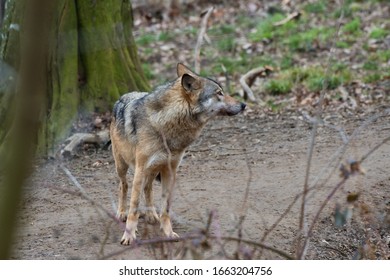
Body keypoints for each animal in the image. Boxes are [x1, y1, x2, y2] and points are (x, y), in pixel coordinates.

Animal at [109, 63, 245, 245]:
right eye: (219, 93)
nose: (244, 105)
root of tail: (124, 95)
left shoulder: (170, 170)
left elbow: (165, 208)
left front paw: (168, 233)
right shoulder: (140, 170)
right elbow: (134, 207)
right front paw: (129, 236)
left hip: (152, 170)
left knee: (148, 188)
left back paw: (151, 215)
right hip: (122, 166)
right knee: (123, 186)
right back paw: (122, 213)